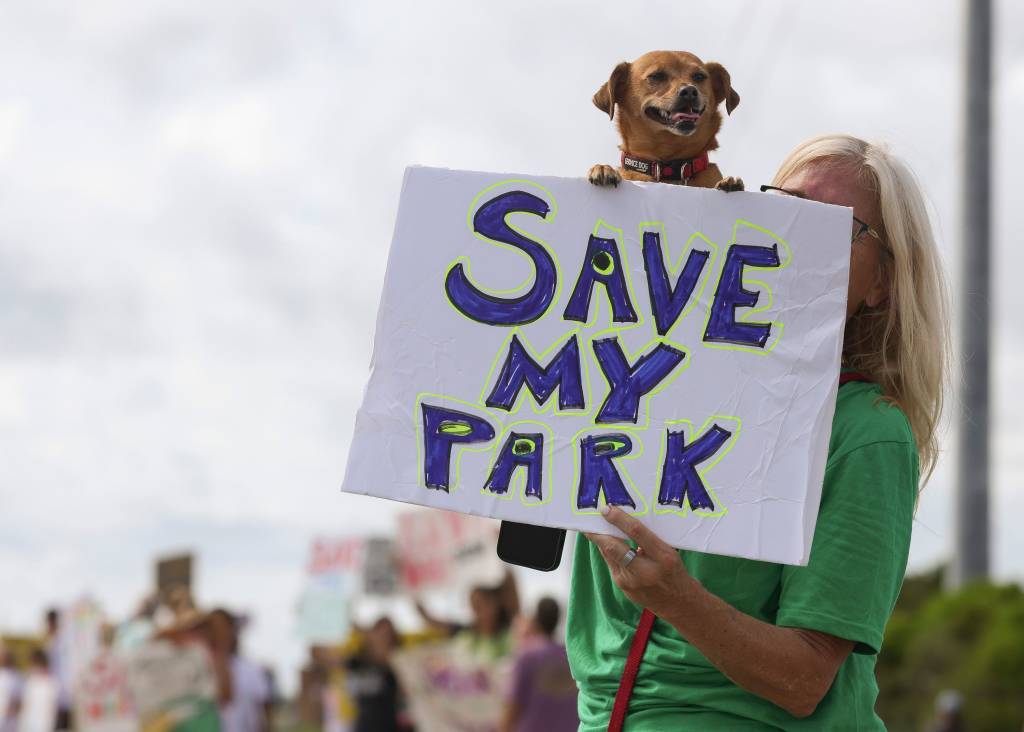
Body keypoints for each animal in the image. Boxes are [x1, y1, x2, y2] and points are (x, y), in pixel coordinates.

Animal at [585, 49, 745, 190]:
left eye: (699, 76)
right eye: (656, 76)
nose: (689, 91)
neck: (668, 168)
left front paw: (730, 183)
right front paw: (603, 169)